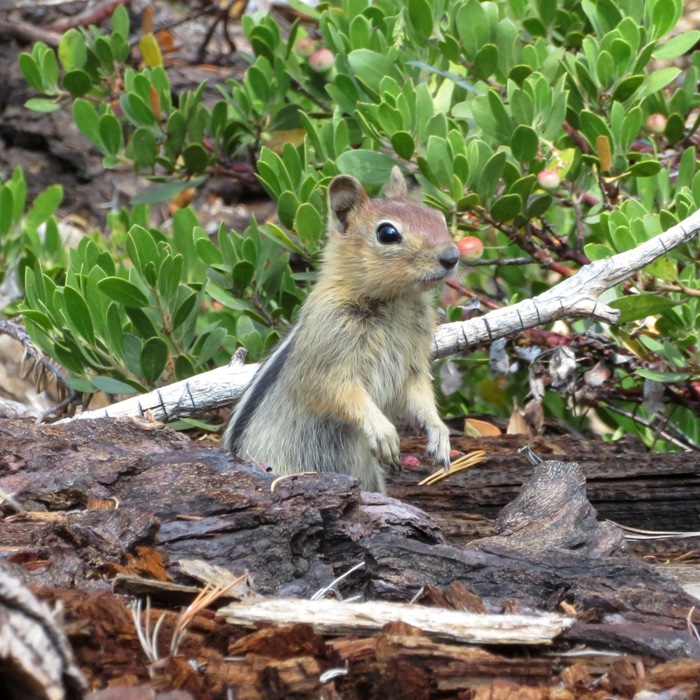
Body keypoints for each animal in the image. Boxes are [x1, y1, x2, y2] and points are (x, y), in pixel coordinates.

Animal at [223, 166, 460, 492]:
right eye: (388, 234)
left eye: (437, 216)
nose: (451, 257)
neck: (394, 300)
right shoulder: (329, 354)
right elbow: (340, 393)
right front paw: (385, 433)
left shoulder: (413, 362)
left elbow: (420, 393)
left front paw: (439, 434)